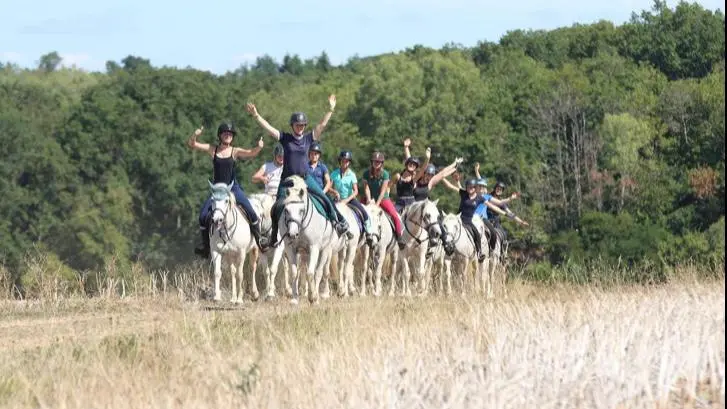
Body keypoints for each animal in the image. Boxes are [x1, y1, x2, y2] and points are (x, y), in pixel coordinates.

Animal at [278, 174, 340, 304]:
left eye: (301, 210)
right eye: (286, 210)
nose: (292, 234)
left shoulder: (314, 247)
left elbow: (311, 273)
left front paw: (313, 298)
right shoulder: (290, 249)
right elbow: (294, 273)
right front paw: (295, 299)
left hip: (325, 250)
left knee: (319, 271)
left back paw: (316, 296)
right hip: (304, 253)